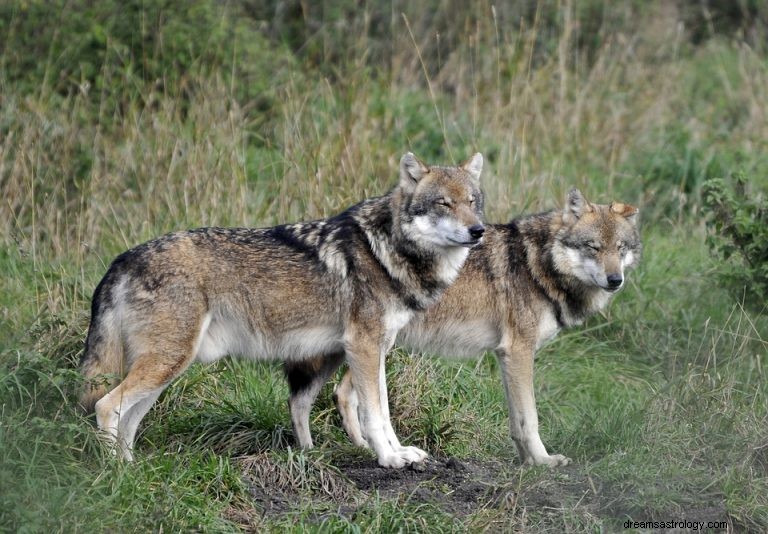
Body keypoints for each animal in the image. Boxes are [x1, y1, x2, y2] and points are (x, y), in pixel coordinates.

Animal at [79, 152, 486, 468]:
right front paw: (389, 458)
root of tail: (122, 259)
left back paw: (132, 467)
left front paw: (400, 452)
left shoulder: (376, 349)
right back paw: (117, 472)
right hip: (167, 362)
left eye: (472, 202)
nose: (478, 230)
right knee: (105, 406)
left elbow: (381, 411)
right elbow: (375, 413)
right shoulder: (365, 347)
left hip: (166, 369)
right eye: (443, 204)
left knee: (128, 420)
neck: (385, 250)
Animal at [284, 189, 640, 468]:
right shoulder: (519, 352)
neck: (535, 264)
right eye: (593, 247)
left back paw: (354, 449)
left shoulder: (506, 357)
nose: (615, 280)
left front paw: (526, 462)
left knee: (337, 395)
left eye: (621, 248)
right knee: (325, 396)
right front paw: (543, 461)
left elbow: (516, 420)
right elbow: (530, 418)